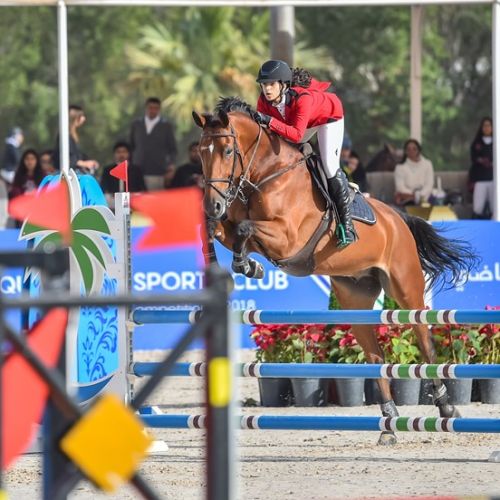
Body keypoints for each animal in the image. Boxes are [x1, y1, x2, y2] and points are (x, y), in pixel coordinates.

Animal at [192, 97, 478, 445]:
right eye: (201, 152)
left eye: (228, 151)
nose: (213, 204)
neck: (267, 174)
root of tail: (398, 218)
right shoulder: (236, 225)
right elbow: (216, 229)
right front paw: (229, 260)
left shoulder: (287, 238)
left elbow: (246, 229)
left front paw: (250, 266)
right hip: (355, 299)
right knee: (376, 358)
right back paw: (389, 424)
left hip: (406, 288)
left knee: (425, 342)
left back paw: (446, 407)